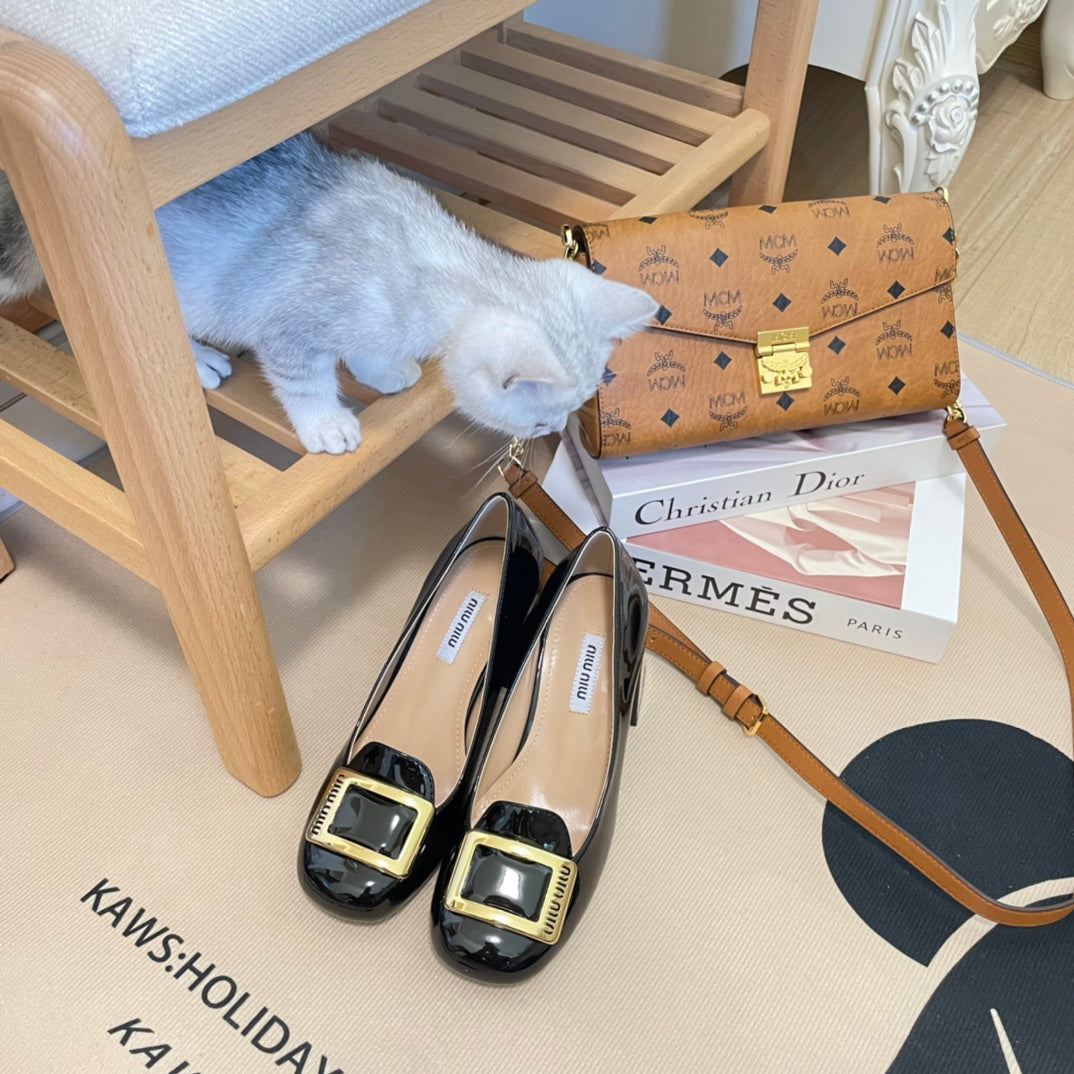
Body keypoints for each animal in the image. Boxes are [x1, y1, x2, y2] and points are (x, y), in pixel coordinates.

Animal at [0, 134, 657, 453]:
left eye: (576, 409)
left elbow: (367, 347)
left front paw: (383, 368)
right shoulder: (289, 326)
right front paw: (326, 424)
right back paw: (202, 360)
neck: (426, 261)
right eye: (544, 414)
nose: (553, 432)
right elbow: (304, 381)